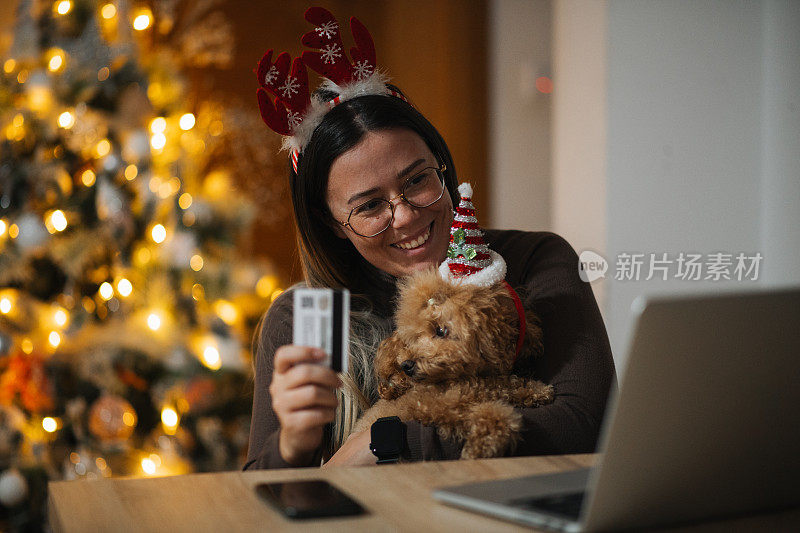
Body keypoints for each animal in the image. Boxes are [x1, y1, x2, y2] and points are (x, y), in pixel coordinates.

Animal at [358, 268, 556, 460]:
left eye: (440, 330)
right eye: (410, 340)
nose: (407, 365)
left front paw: (534, 390)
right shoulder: (435, 407)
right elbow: (490, 411)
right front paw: (481, 447)